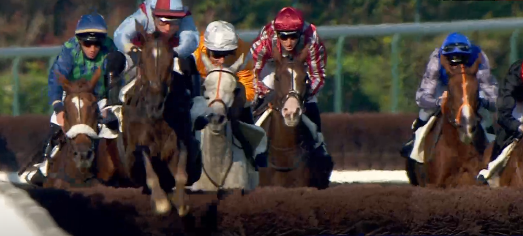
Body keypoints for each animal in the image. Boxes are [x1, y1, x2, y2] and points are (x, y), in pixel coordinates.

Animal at [121, 19, 201, 216]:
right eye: (142, 62)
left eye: (170, 61)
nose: (155, 104)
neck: (157, 117)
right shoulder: (140, 145)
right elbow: (152, 177)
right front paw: (160, 202)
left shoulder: (179, 140)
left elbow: (181, 174)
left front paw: (180, 201)